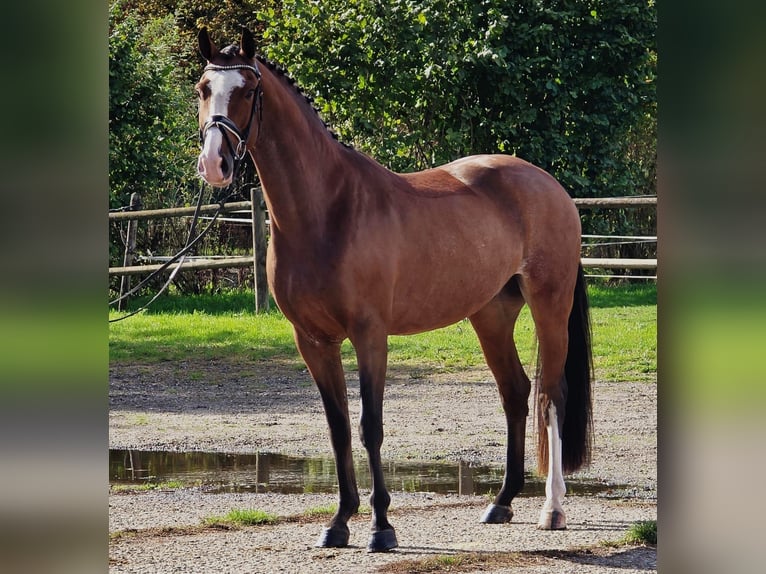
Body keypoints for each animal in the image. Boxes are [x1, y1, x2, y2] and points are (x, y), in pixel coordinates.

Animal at [195, 27, 593, 552]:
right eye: (203, 88)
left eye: (245, 91)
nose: (214, 164)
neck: (326, 211)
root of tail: (550, 185)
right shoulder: (313, 340)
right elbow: (339, 428)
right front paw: (339, 521)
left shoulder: (370, 335)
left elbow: (371, 427)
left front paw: (382, 526)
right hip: (490, 315)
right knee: (515, 392)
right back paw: (502, 502)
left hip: (549, 304)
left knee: (551, 395)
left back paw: (553, 508)